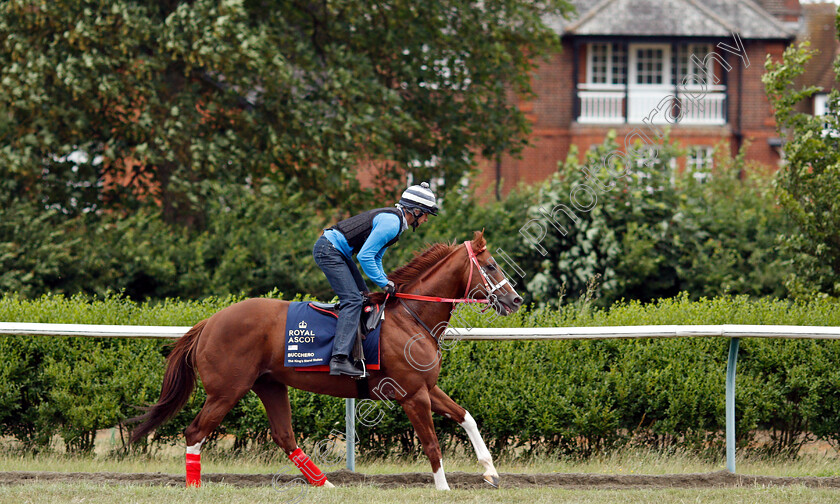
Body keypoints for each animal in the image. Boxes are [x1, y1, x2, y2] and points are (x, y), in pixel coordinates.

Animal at [128, 231, 520, 488]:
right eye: (491, 265)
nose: (515, 300)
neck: (411, 317)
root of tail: (209, 322)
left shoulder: (426, 387)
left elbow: (466, 417)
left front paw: (490, 471)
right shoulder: (412, 395)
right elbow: (432, 442)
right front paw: (443, 489)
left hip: (269, 385)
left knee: (284, 435)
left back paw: (325, 484)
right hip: (226, 390)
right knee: (195, 431)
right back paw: (194, 486)